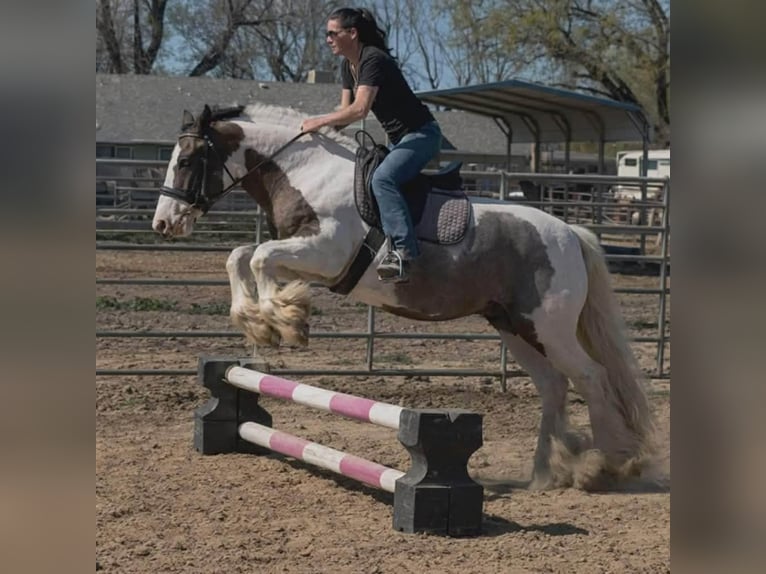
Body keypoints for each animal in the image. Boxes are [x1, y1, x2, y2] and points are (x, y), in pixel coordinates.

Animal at [152, 103, 655, 491]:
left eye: (187, 160)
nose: (163, 224)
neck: (307, 173)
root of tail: (570, 233)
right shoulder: (310, 260)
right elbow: (241, 256)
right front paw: (262, 320)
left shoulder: (324, 251)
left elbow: (257, 258)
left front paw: (283, 321)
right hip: (514, 327)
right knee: (553, 386)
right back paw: (544, 474)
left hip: (549, 328)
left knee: (591, 378)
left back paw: (601, 465)